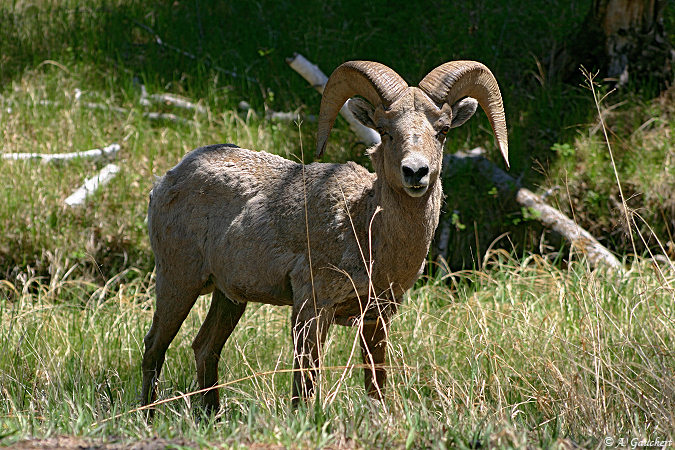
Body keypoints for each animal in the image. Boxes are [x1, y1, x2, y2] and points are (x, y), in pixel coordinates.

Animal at [145, 59, 510, 412]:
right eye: (386, 131)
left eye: (443, 130)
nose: (415, 172)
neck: (364, 229)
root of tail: (168, 179)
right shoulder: (312, 309)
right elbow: (305, 386)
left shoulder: (376, 318)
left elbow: (375, 383)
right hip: (179, 281)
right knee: (154, 347)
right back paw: (148, 415)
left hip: (229, 297)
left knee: (205, 347)